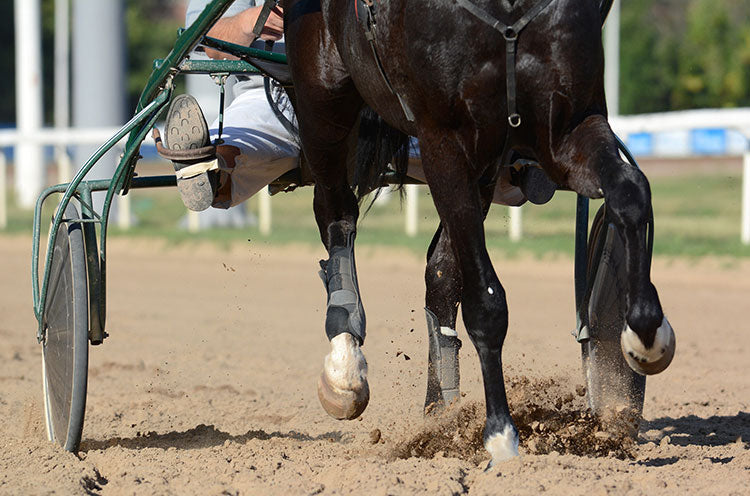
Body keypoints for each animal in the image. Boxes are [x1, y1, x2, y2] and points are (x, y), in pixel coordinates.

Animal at [284, 0, 680, 464]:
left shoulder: (566, 123)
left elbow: (630, 190)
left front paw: (646, 332)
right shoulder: (443, 141)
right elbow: (486, 303)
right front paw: (501, 434)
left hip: (487, 167)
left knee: (440, 270)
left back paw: (441, 414)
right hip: (323, 99)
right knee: (335, 209)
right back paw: (345, 362)